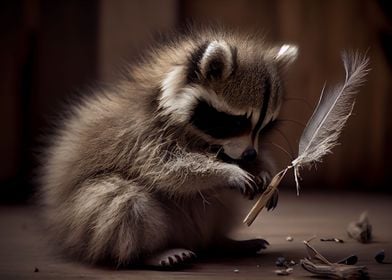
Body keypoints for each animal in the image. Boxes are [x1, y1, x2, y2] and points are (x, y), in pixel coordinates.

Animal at [39, 26, 298, 266]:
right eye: (237, 122)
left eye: (266, 126)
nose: (250, 155)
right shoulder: (143, 133)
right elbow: (168, 167)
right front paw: (227, 171)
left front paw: (262, 170)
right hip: (83, 219)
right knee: (122, 200)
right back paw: (150, 252)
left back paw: (219, 241)